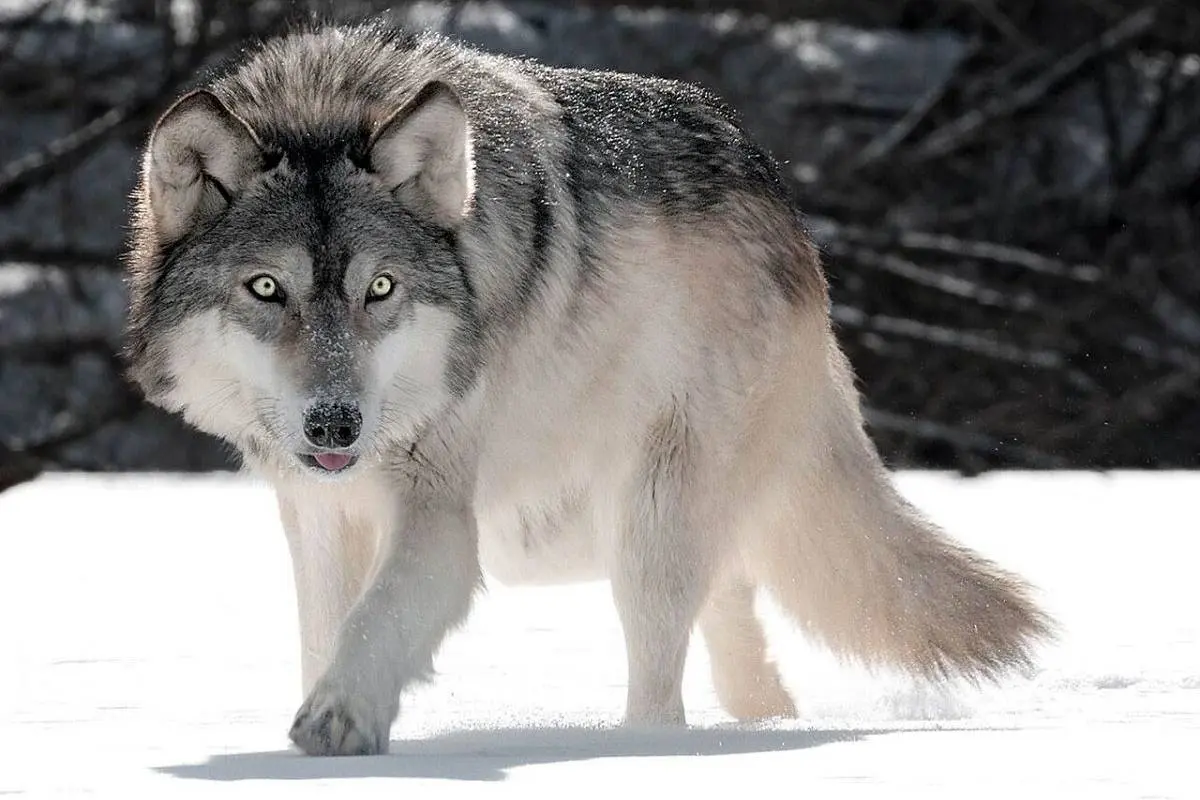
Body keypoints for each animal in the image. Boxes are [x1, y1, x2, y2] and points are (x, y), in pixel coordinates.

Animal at [124, 20, 1051, 758]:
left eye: (380, 289)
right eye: (266, 289)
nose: (335, 425)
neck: (326, 102)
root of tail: (790, 216)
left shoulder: (439, 513)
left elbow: (376, 621)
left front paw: (339, 719)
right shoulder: (319, 513)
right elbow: (328, 630)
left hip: (641, 520)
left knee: (664, 688)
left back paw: (645, 753)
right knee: (738, 628)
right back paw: (762, 728)